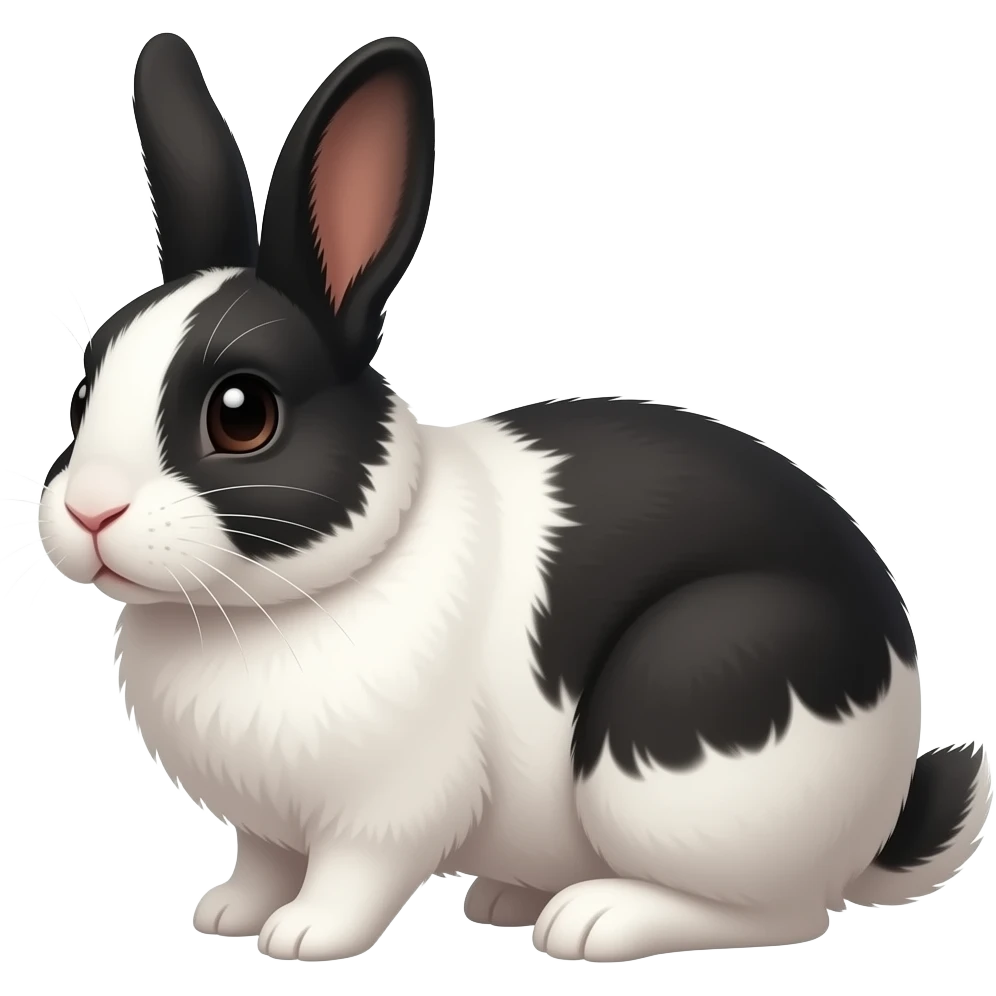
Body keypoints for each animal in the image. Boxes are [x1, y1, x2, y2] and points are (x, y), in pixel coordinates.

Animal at [39, 31, 990, 964]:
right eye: (81, 394)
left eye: (243, 414)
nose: (90, 513)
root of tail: (881, 809)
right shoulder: (267, 824)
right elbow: (264, 860)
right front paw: (227, 913)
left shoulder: (387, 810)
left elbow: (355, 876)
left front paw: (303, 936)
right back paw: (506, 898)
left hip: (689, 714)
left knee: (780, 914)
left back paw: (591, 921)